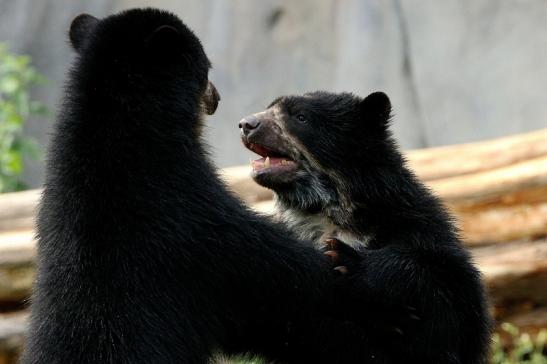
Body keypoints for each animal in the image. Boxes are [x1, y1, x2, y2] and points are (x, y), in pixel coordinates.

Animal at [240, 90, 492, 362]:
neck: (329, 213)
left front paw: (346, 259)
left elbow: (448, 296)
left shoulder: (420, 227)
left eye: (300, 117)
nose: (246, 124)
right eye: (269, 108)